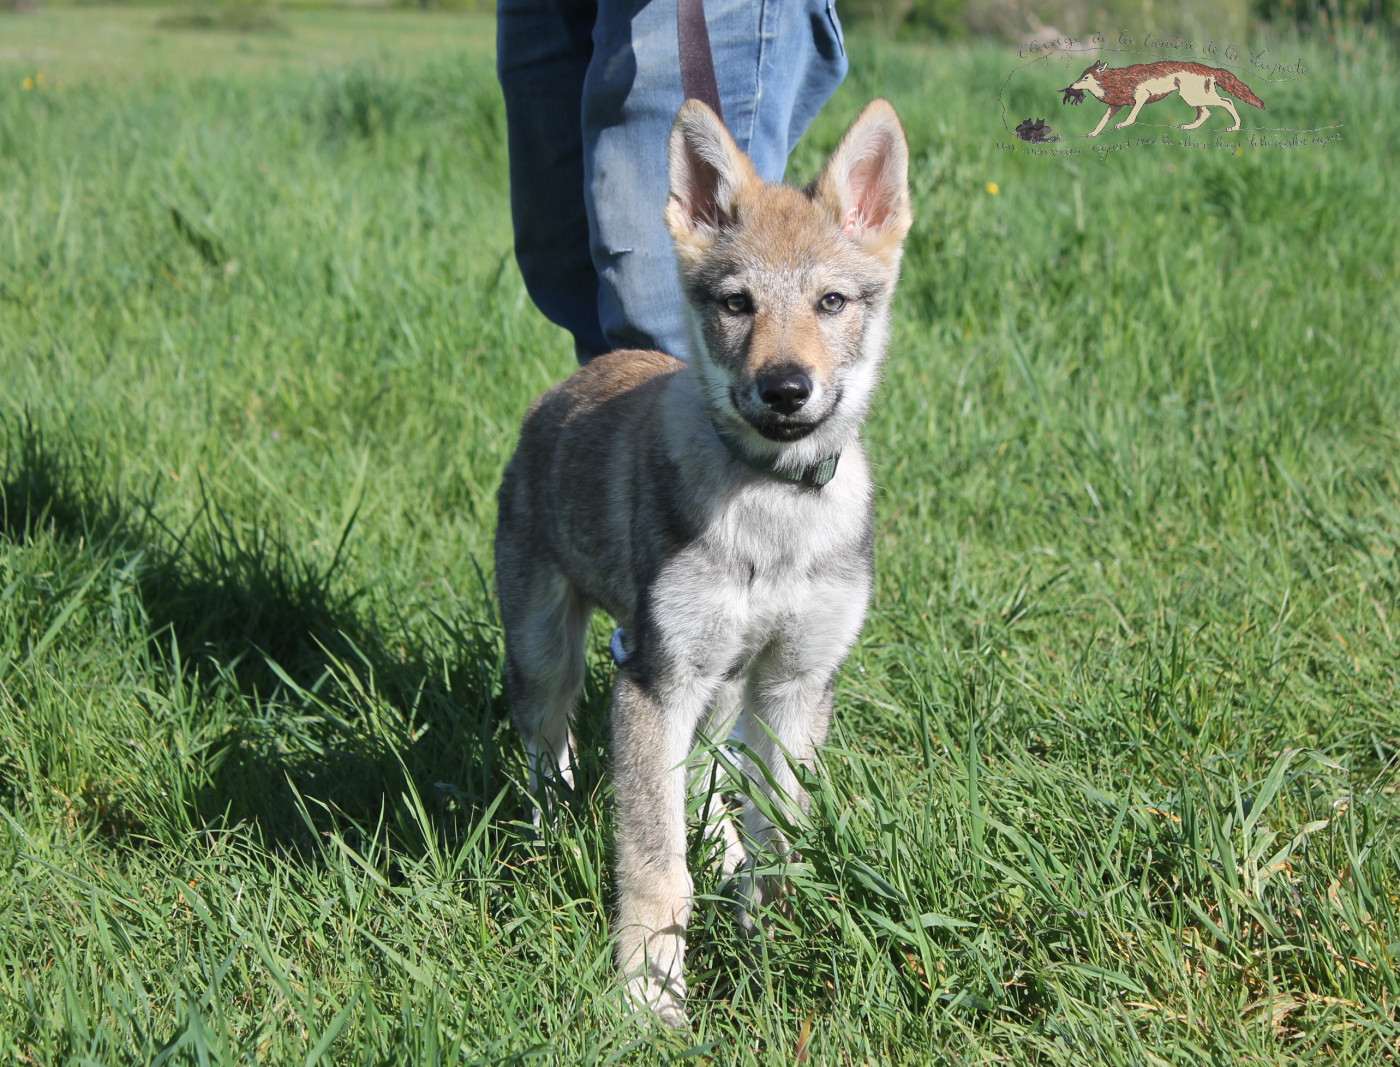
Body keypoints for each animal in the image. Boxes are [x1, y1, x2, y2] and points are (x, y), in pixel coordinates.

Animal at [494, 98, 911, 1027]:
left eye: (831, 300)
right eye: (736, 302)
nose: (786, 388)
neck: (773, 511)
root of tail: (571, 384)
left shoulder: (795, 684)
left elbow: (776, 839)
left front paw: (771, 956)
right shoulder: (654, 679)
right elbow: (657, 866)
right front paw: (649, 1001)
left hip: (726, 688)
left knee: (714, 785)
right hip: (549, 654)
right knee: (547, 754)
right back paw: (545, 841)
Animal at [1063, 59, 1265, 136]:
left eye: (1085, 78)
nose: (1071, 86)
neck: (1113, 81)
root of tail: (1210, 68)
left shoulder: (1142, 96)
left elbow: (1132, 116)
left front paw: (1123, 124)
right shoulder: (1114, 106)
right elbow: (1102, 121)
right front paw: (1093, 133)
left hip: (1194, 97)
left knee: (1227, 102)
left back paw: (1235, 127)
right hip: (1193, 99)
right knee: (1206, 113)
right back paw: (1189, 127)